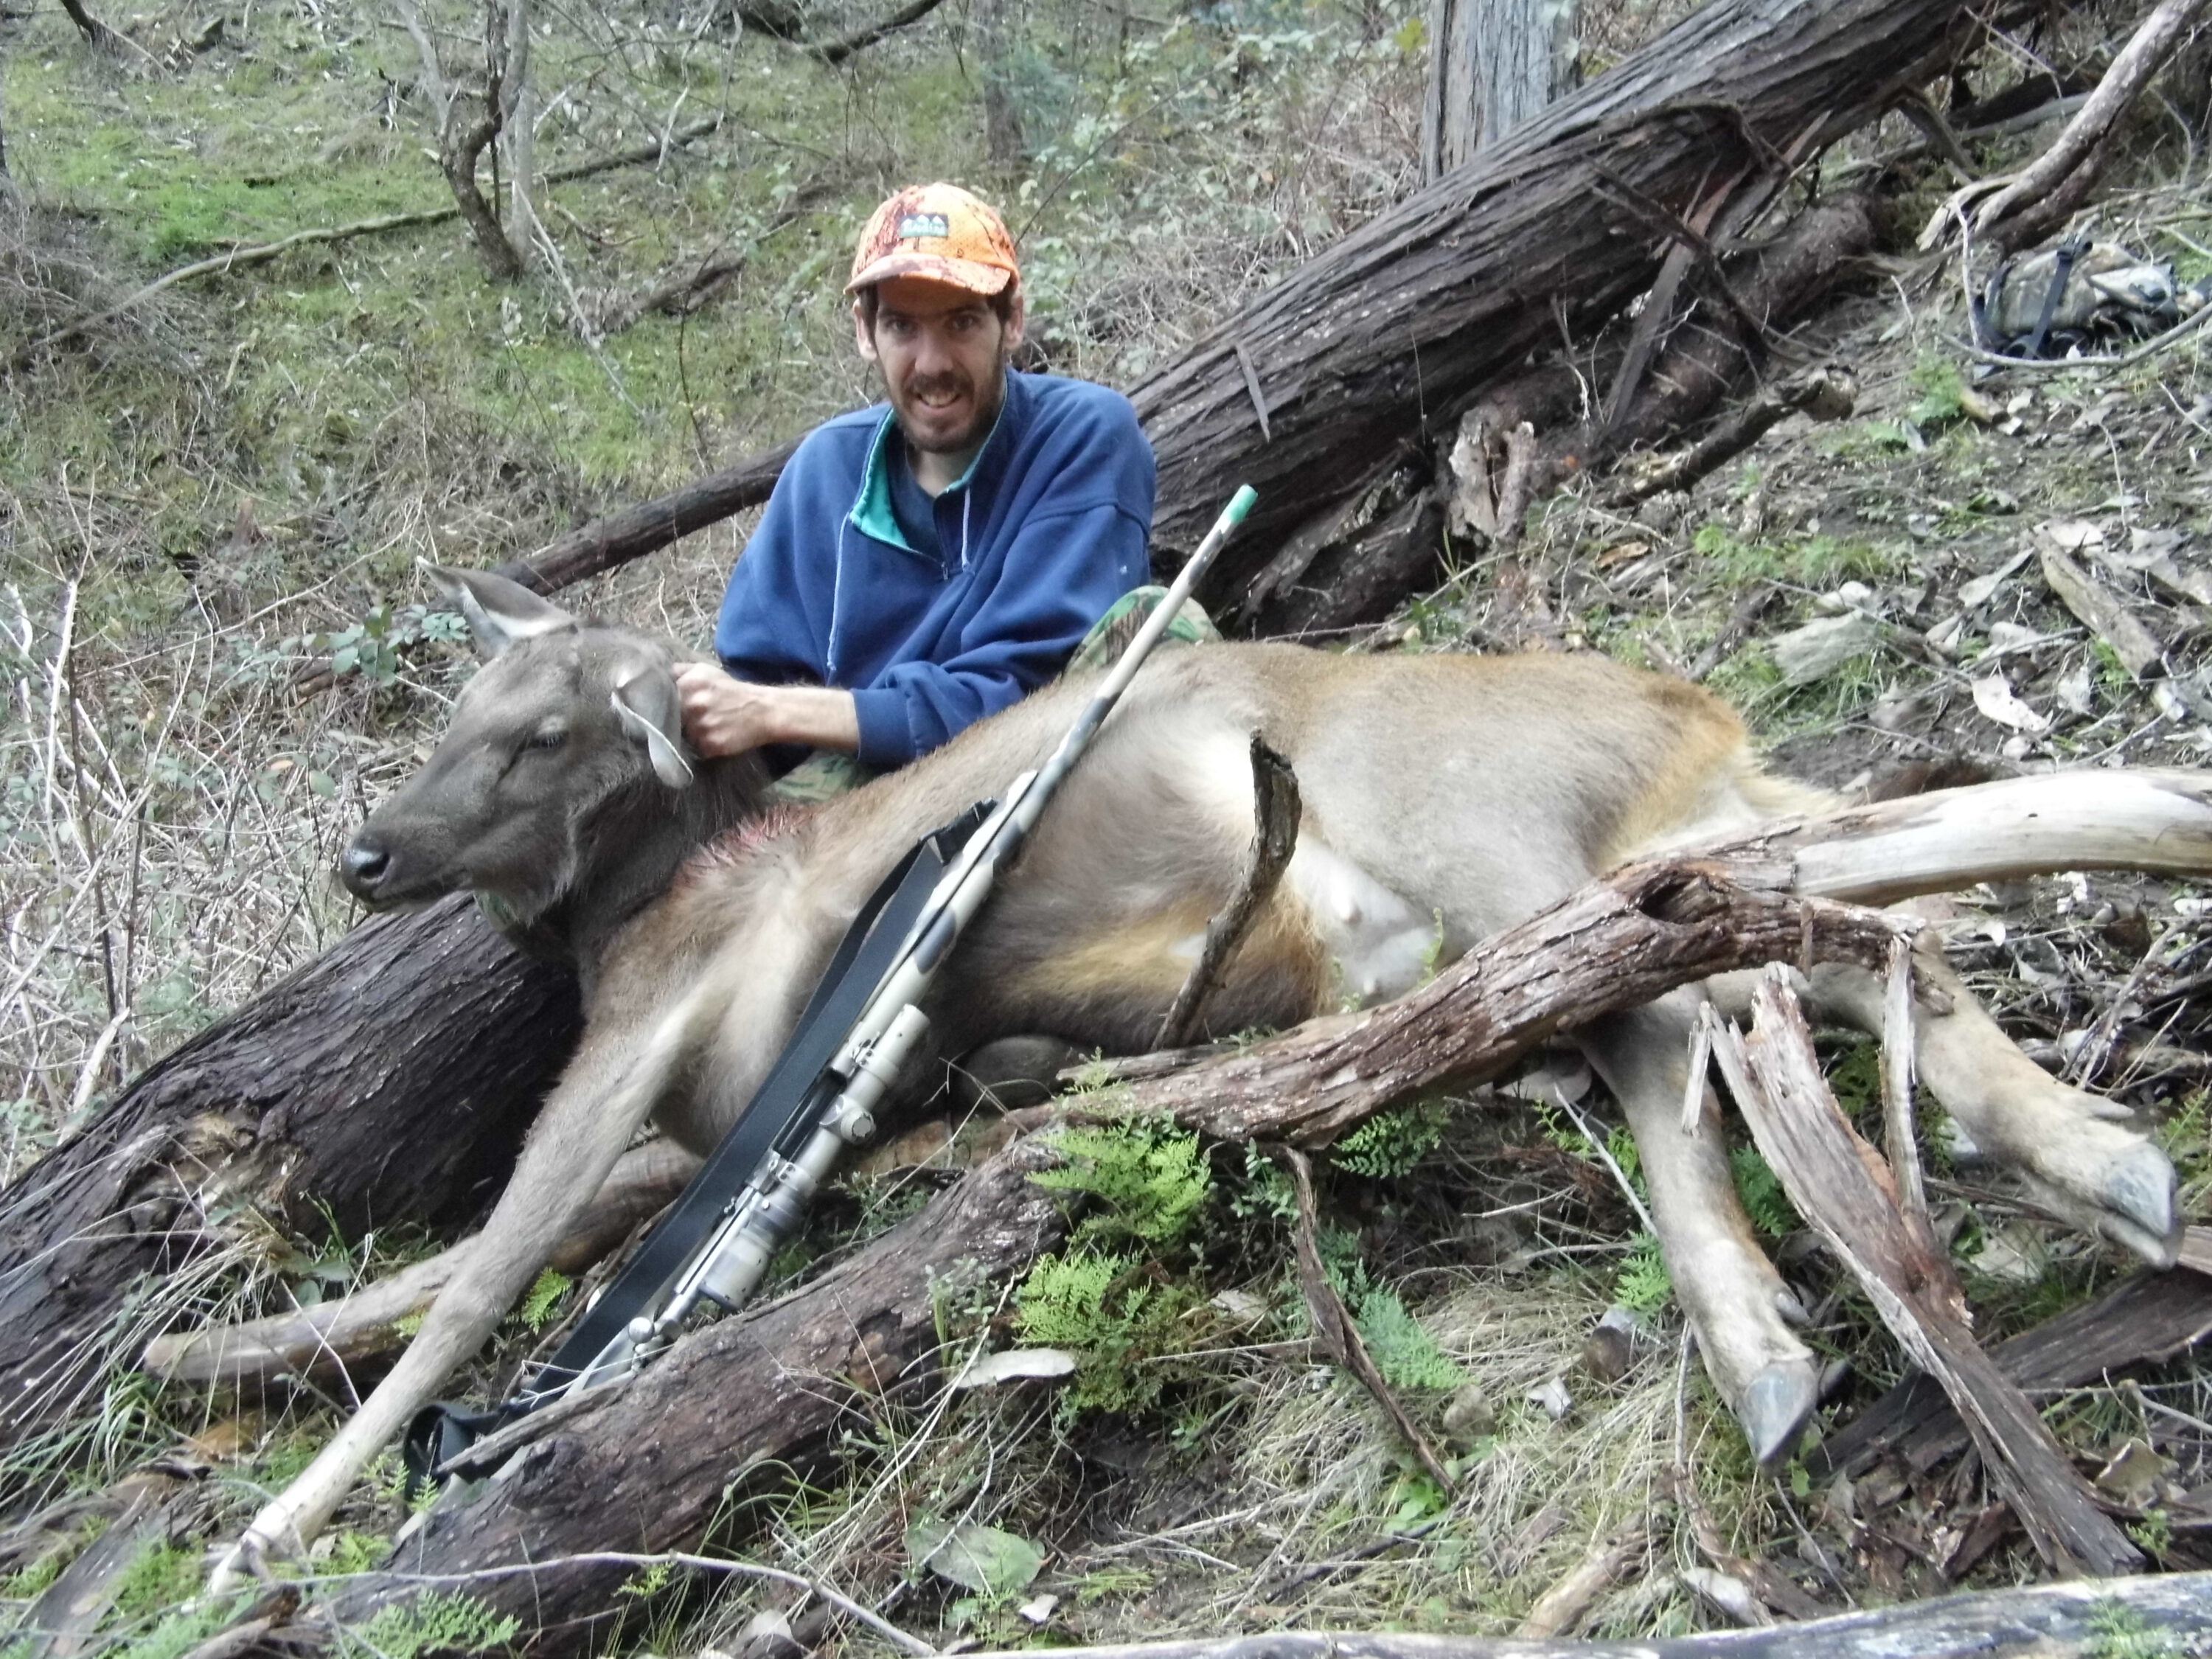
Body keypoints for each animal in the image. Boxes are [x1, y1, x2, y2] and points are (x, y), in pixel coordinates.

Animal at [211, 571, 2194, 1584]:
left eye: (538, 731)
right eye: (448, 718)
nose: (367, 855)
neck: (642, 920)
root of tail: (1677, 712)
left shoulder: (648, 1049)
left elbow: (479, 1283)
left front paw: (276, 1530)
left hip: (1488, 843)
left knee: (1677, 991)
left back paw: (1780, 1327)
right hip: (1674, 830)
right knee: (1834, 927)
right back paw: (2083, 1153)